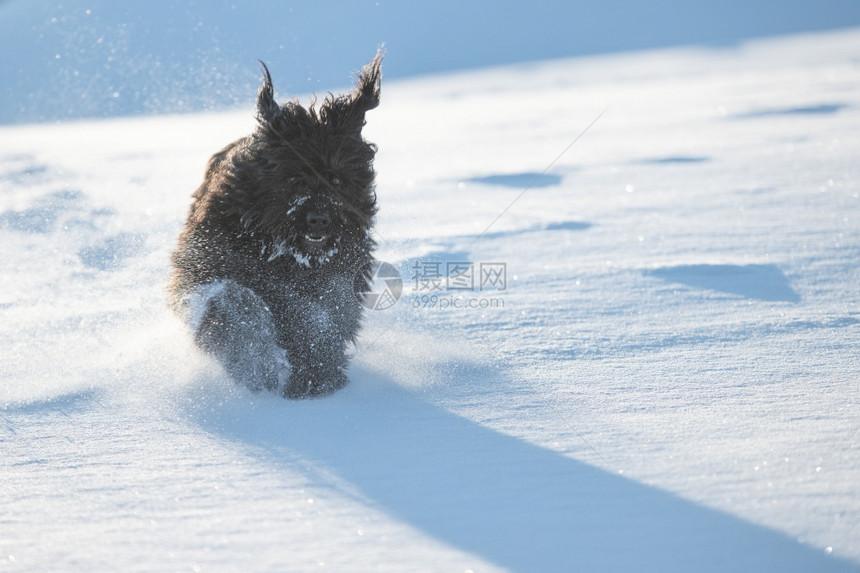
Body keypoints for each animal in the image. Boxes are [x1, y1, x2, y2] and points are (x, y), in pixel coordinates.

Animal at [169, 51, 382, 396]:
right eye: (293, 178)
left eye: (337, 180)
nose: (319, 219)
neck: (282, 253)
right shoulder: (209, 267)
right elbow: (237, 305)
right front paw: (256, 362)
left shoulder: (340, 279)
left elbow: (322, 321)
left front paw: (318, 373)